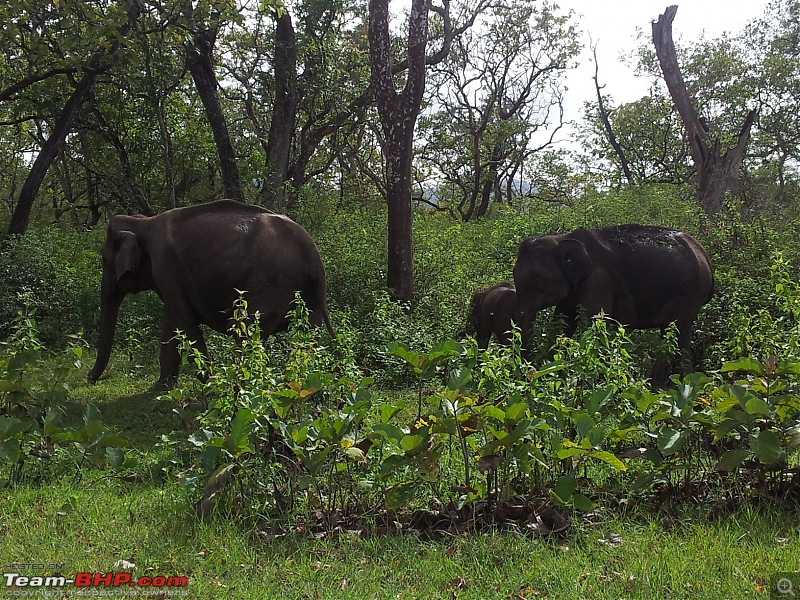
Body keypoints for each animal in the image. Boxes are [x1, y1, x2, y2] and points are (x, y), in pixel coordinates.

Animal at [86, 199, 334, 392]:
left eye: (105, 260)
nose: (89, 378)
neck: (143, 222)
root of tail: (313, 255)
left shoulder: (166, 267)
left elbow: (185, 323)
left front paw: (211, 385)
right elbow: (174, 326)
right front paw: (161, 389)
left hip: (269, 287)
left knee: (247, 334)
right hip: (307, 297)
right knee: (308, 338)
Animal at [516, 225, 716, 380]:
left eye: (539, 282)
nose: (529, 372)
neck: (561, 239)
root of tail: (704, 254)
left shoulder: (598, 281)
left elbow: (594, 325)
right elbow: (563, 324)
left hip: (691, 291)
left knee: (677, 333)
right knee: (671, 334)